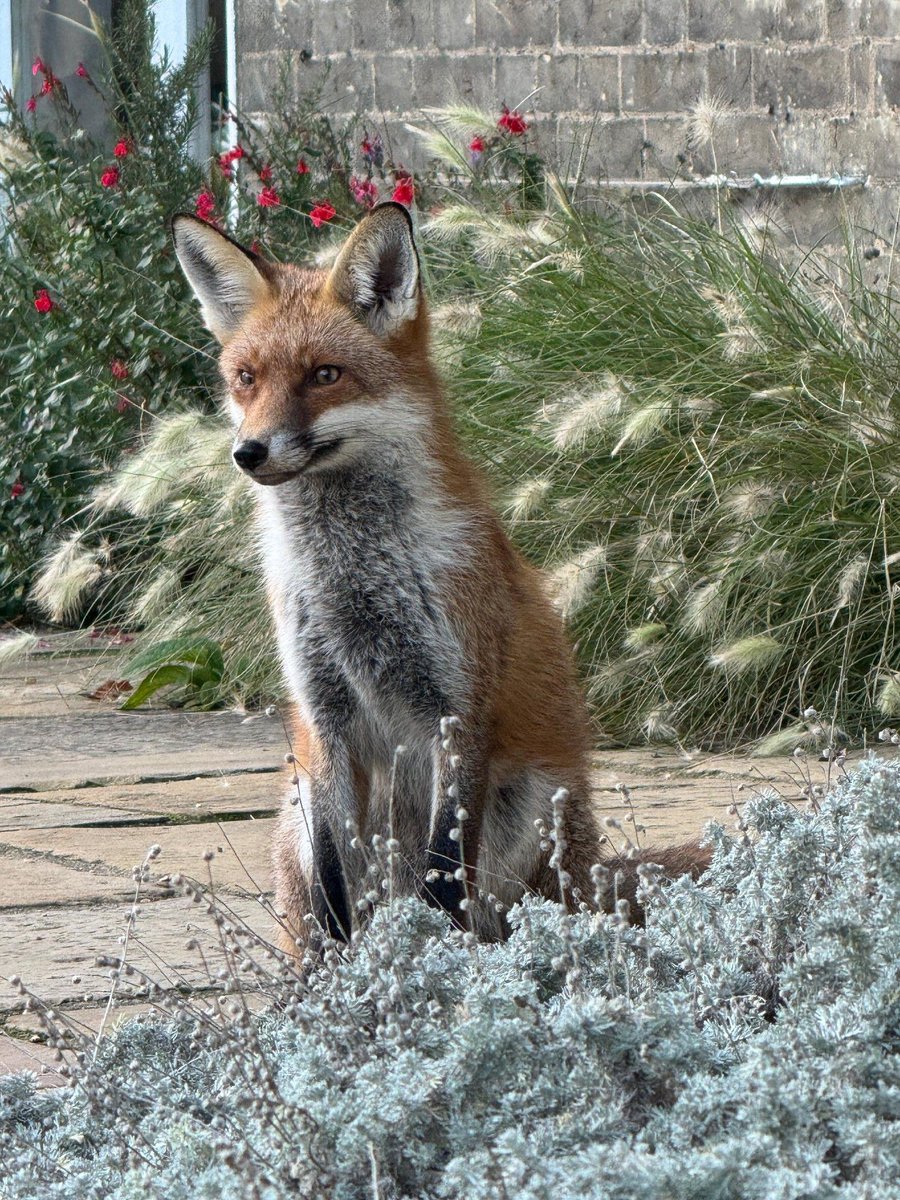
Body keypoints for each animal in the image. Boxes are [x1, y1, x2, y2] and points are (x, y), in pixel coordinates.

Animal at [172, 202, 707, 950]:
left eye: (325, 375)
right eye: (245, 378)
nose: (248, 452)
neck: (353, 582)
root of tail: (595, 868)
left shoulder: (454, 710)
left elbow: (443, 875)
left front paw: (428, 964)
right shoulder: (324, 721)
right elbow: (336, 892)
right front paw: (343, 978)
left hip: (529, 807)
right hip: (297, 805)